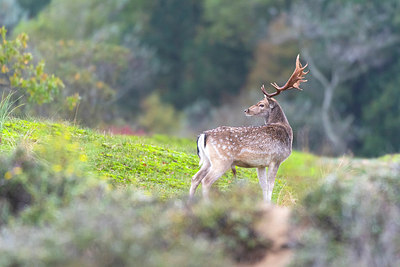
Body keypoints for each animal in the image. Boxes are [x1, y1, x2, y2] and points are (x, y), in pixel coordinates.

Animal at [189, 55, 308, 203]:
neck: (285, 131)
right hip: (222, 160)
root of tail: (203, 135)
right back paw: (207, 204)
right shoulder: (276, 159)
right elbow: (271, 185)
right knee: (206, 181)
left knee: (195, 178)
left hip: (207, 160)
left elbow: (264, 186)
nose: (247, 110)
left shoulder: (261, 164)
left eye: (261, 104)